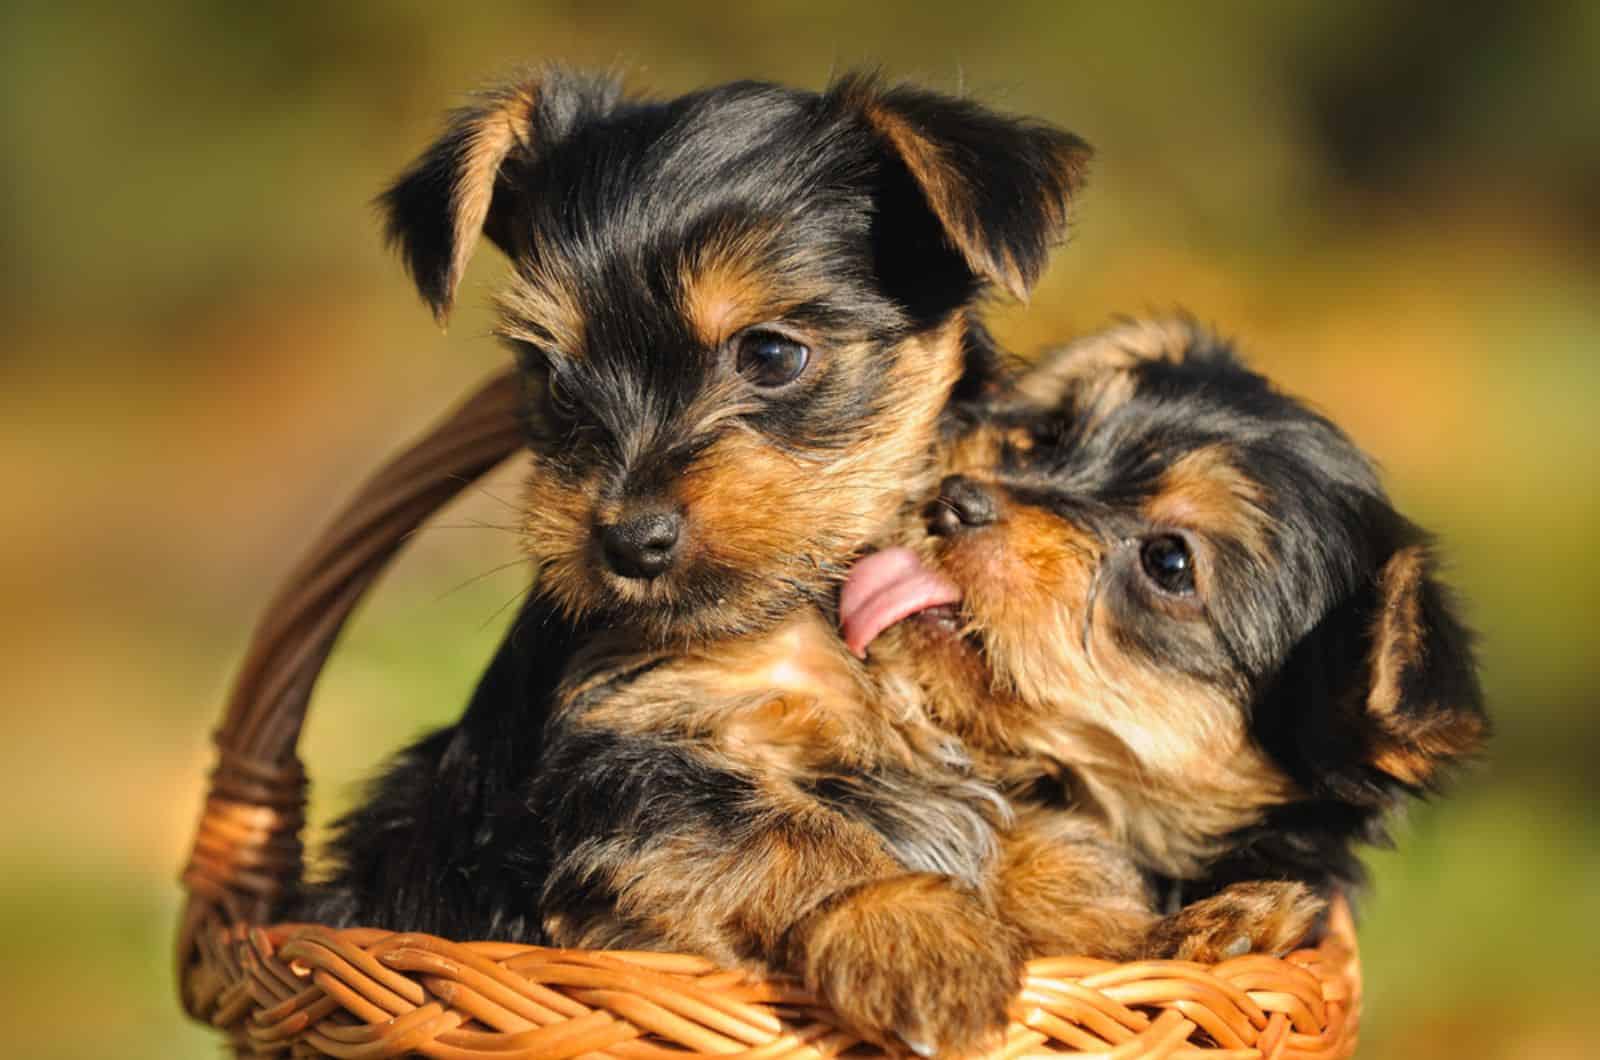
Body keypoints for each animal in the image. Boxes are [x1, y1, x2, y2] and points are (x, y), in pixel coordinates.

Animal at [294, 70, 1094, 947]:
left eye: (772, 354)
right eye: (553, 380)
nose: (628, 540)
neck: (817, 602)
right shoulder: (630, 753)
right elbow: (790, 829)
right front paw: (925, 931)